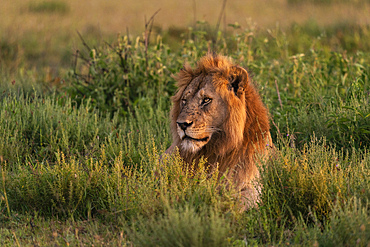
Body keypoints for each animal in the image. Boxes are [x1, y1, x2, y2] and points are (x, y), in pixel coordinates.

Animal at [165, 54, 272, 208]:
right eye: (184, 100)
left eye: (206, 100)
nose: (181, 124)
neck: (214, 151)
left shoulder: (254, 186)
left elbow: (240, 201)